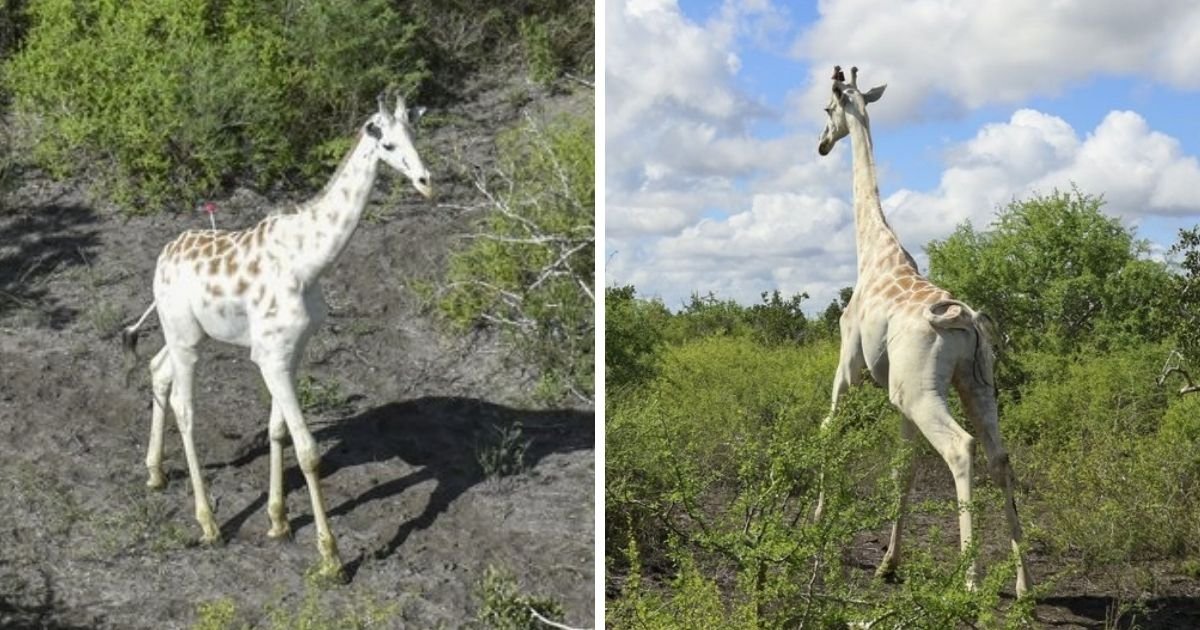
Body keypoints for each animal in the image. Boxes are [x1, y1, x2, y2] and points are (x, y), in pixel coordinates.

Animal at [120, 93, 432, 580]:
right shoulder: (271, 356)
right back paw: (208, 524)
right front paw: (331, 558)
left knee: (157, 369)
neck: (309, 261)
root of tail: (161, 259)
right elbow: (308, 450)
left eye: (416, 135)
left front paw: (279, 521)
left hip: (188, 333)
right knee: (186, 409)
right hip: (185, 338)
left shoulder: (291, 351)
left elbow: (277, 431)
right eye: (387, 144)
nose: (425, 182)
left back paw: (155, 473)